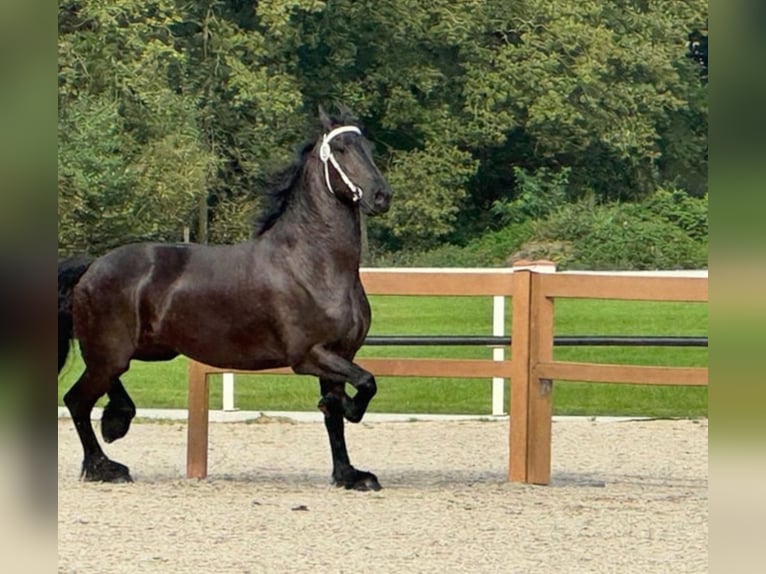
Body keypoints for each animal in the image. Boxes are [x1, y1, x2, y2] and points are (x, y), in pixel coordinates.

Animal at [58, 109, 393, 491]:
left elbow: (336, 414)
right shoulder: (310, 355)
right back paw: (104, 466)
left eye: (368, 146)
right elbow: (362, 386)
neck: (314, 264)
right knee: (77, 400)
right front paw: (347, 416)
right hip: (110, 352)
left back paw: (116, 424)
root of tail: (91, 267)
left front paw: (350, 475)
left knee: (100, 391)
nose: (381, 196)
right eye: (340, 148)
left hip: (137, 351)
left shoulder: (341, 354)